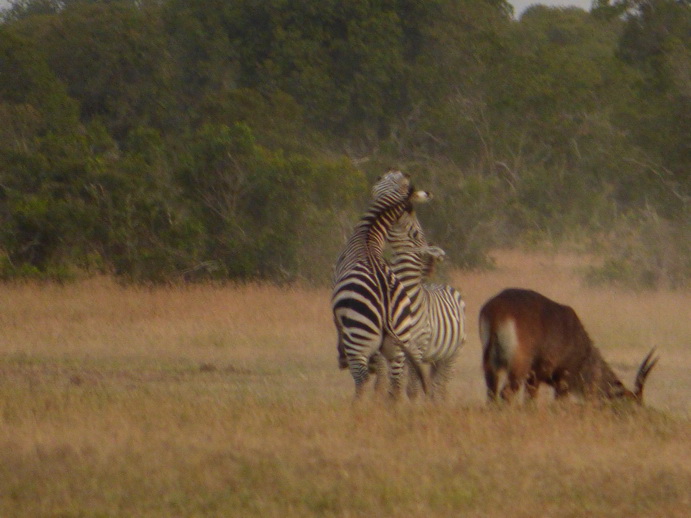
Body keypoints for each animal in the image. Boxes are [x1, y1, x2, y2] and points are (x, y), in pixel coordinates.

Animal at [332, 173, 432, 400]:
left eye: (387, 178)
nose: (380, 175)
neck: (368, 236)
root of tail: (386, 308)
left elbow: (338, 329)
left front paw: (341, 357)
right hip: (398, 343)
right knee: (395, 384)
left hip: (359, 337)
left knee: (361, 380)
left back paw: (357, 407)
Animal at [390, 205, 470, 400]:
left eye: (414, 232)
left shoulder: (418, 345)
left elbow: (412, 388)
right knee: (434, 386)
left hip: (452, 354)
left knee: (440, 387)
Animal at [482, 290, 660, 404]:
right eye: (633, 404)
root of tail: (497, 310)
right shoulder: (560, 381)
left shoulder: (535, 379)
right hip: (519, 367)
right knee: (506, 393)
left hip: (491, 365)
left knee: (491, 393)